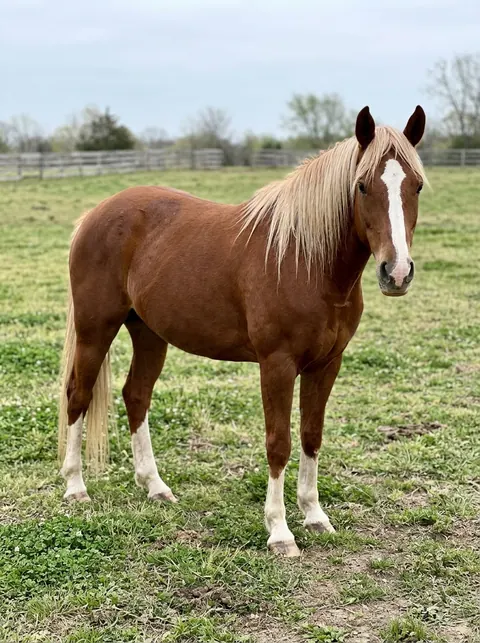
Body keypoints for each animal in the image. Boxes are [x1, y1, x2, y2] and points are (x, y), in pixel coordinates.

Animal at [58, 105, 427, 557]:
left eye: (417, 186)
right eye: (361, 186)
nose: (397, 272)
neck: (305, 261)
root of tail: (95, 214)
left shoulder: (327, 365)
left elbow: (311, 435)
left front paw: (314, 515)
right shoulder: (277, 365)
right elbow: (278, 443)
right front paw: (280, 532)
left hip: (148, 333)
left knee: (136, 395)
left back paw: (155, 486)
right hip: (95, 329)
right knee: (79, 394)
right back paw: (76, 487)